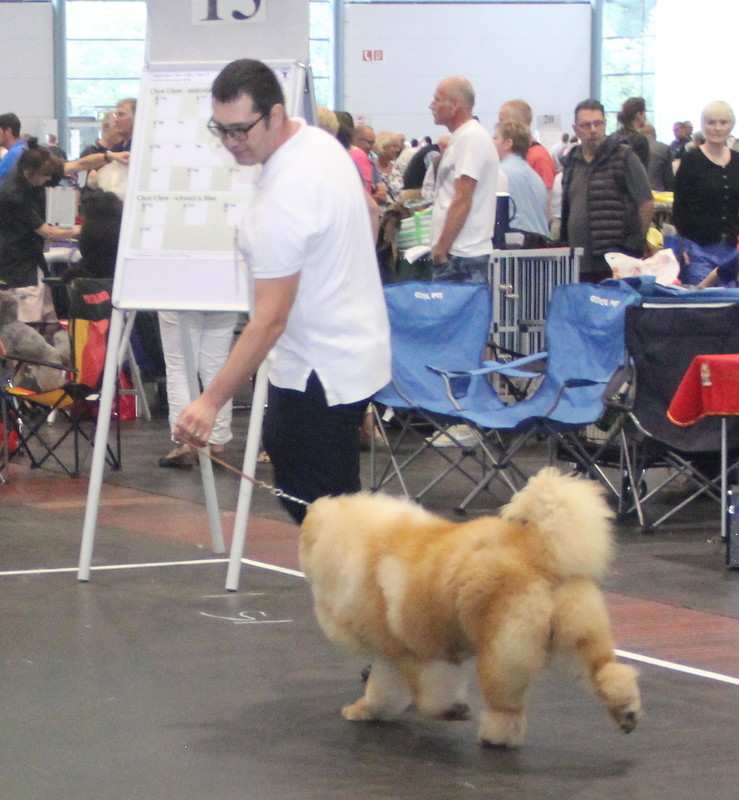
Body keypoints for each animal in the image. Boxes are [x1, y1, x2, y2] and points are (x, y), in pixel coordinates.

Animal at [299, 467, 641, 748]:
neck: (355, 545)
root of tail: (539, 550)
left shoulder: (414, 654)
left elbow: (428, 694)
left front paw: (453, 711)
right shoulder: (390, 656)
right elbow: (382, 691)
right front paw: (365, 711)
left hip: (502, 650)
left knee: (506, 705)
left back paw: (495, 738)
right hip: (572, 638)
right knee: (606, 672)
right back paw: (627, 714)